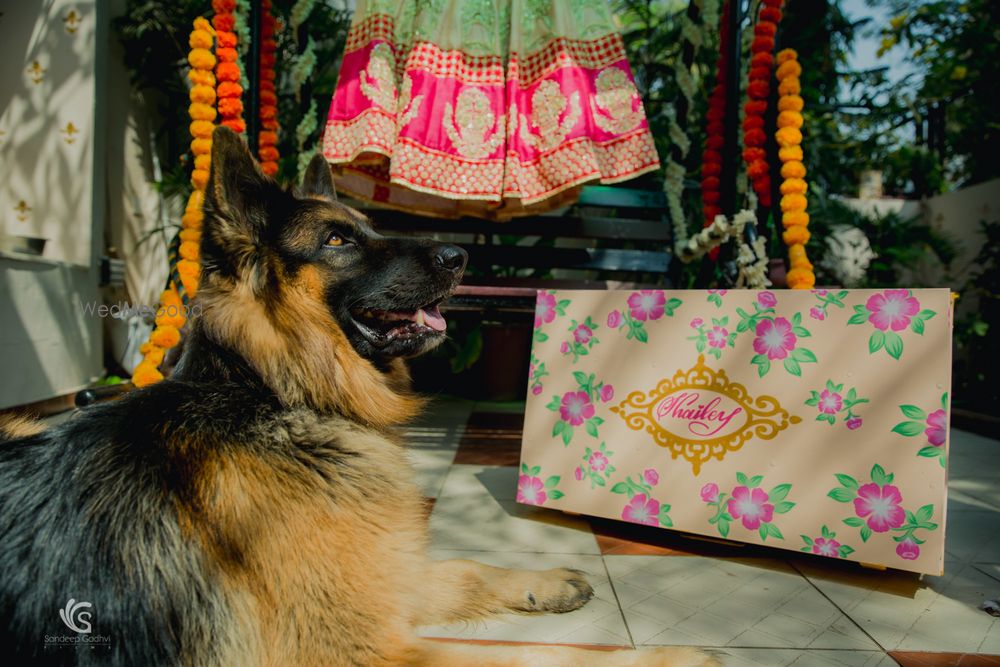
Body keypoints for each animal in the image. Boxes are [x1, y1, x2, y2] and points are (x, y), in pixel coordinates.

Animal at [0, 126, 720, 667]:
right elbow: (538, 657)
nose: (459, 256)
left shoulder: (379, 578)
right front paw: (670, 658)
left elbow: (459, 566)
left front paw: (543, 582)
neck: (275, 394)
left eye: (368, 227)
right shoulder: (360, 649)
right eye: (338, 241)